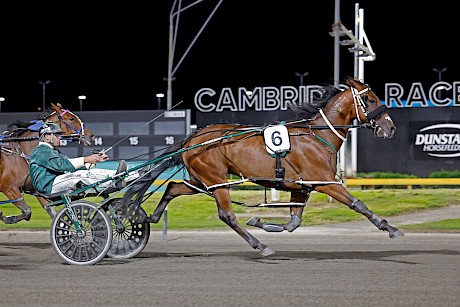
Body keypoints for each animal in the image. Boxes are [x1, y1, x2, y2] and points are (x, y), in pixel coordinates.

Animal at [135, 77, 404, 258]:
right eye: (371, 99)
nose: (390, 127)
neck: (317, 136)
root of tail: (192, 138)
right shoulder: (325, 181)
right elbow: (359, 204)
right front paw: (391, 229)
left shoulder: (302, 187)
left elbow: (293, 224)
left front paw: (259, 221)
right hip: (216, 180)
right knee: (227, 215)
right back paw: (261, 246)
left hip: (202, 180)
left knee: (173, 187)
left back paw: (152, 216)